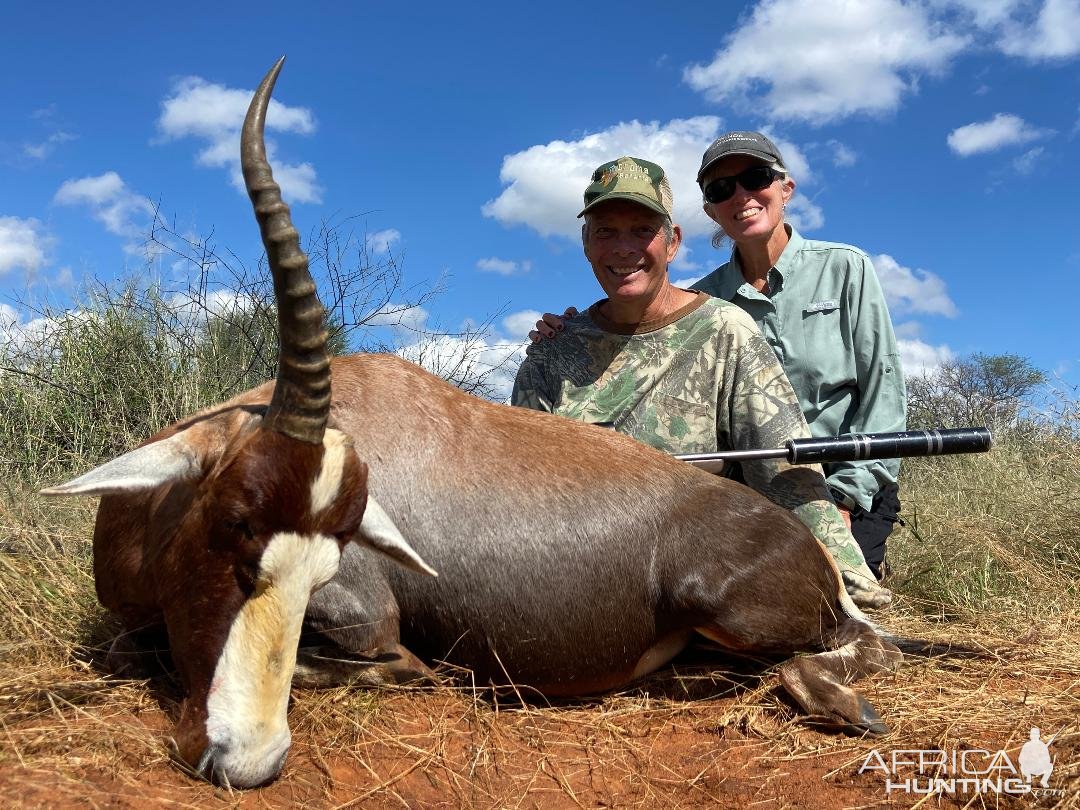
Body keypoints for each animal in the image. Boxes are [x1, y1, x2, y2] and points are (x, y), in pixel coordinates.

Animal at [42, 60, 902, 790]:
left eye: (324, 566)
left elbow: (397, 663)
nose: (243, 758)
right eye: (230, 522)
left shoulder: (372, 623)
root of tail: (814, 557)